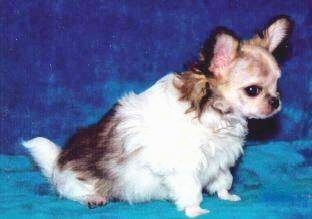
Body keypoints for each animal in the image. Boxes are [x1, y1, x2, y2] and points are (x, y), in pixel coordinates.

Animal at [23, 17, 292, 217]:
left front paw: (226, 196)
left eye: (277, 85)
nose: (275, 101)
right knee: (71, 191)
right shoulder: (184, 167)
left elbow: (223, 179)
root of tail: (58, 162)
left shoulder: (219, 161)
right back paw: (93, 197)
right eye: (253, 90)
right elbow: (192, 189)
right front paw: (195, 210)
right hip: (75, 178)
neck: (214, 116)